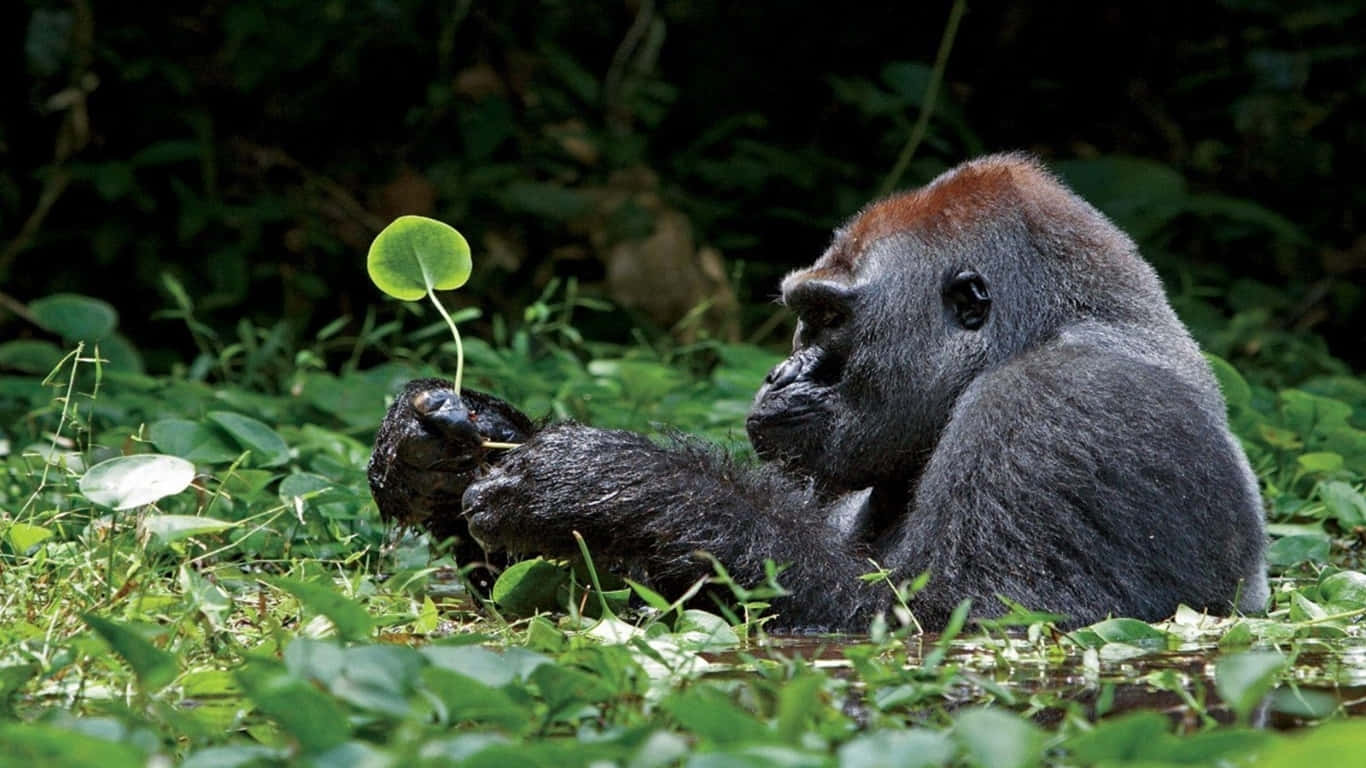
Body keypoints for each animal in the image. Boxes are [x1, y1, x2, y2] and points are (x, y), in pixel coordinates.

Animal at [367, 153, 1269, 631]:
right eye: (803, 317)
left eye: (828, 319)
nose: (780, 374)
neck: (1041, 329)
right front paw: (441, 451)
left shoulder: (1069, 406)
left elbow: (958, 618)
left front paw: (611, 484)